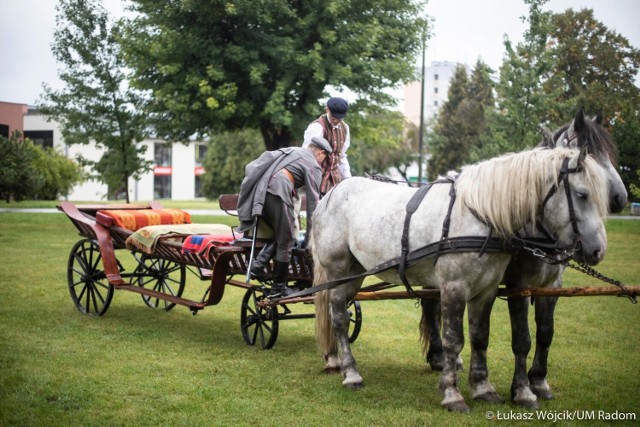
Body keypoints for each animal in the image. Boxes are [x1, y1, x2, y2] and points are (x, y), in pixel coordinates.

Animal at [312, 147, 608, 412]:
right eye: (582, 195)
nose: (598, 250)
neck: (481, 215)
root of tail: (329, 195)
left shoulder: (486, 290)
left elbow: (480, 337)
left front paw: (483, 388)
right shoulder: (456, 288)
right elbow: (455, 339)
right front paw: (452, 395)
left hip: (354, 275)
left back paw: (336, 361)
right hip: (337, 271)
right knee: (339, 317)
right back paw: (351, 373)